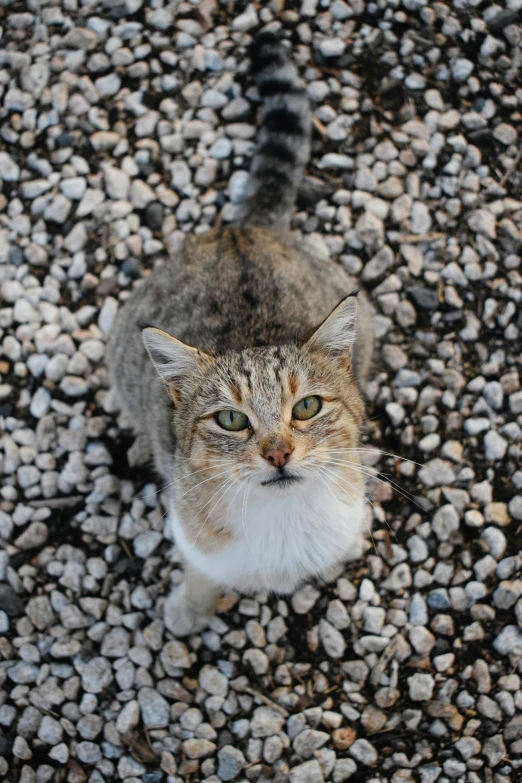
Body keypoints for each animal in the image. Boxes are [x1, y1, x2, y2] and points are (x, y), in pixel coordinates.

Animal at [107, 33, 372, 640]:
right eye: (231, 419)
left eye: (307, 407)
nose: (277, 453)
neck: (282, 522)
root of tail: (241, 230)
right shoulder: (195, 538)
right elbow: (202, 572)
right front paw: (190, 607)